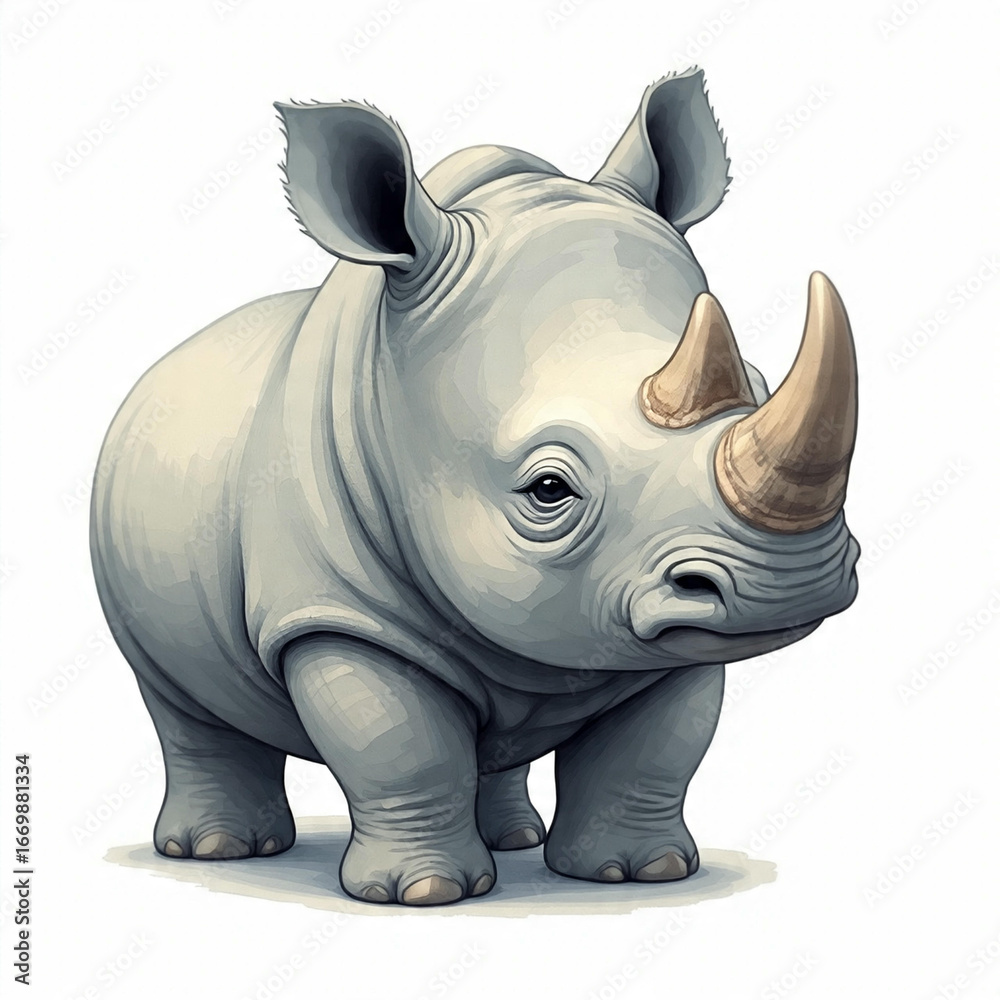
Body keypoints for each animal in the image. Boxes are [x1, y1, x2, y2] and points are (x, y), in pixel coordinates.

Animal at [91, 67, 859, 906]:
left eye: (758, 386)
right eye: (548, 489)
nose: (789, 584)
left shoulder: (665, 630)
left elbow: (656, 746)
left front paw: (638, 874)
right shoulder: (332, 611)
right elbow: (400, 743)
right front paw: (424, 894)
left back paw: (514, 838)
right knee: (178, 699)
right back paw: (220, 851)